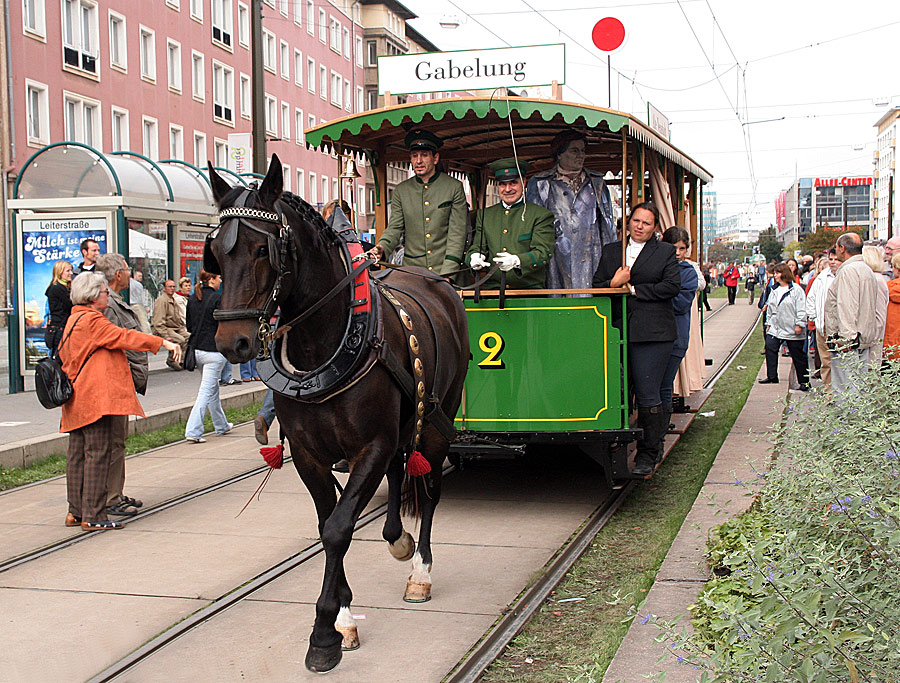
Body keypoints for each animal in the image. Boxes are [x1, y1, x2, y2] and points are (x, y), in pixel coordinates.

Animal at [205, 156, 472, 672]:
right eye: (216, 255)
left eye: (263, 249)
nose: (232, 344)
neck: (321, 342)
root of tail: (438, 283)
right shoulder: (310, 454)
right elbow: (327, 523)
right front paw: (344, 618)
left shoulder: (370, 445)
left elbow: (338, 529)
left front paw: (323, 633)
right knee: (400, 473)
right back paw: (396, 537)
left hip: (438, 420)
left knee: (429, 487)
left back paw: (420, 570)